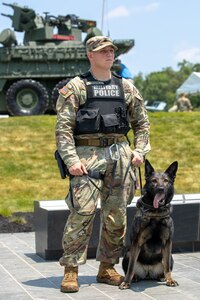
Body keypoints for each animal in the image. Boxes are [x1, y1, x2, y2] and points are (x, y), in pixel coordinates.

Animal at [119, 161, 179, 290]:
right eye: (154, 181)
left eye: (166, 181)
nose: (160, 189)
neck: (155, 213)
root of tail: (148, 273)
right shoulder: (137, 242)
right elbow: (131, 267)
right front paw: (126, 282)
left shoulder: (168, 242)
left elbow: (167, 265)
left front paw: (170, 280)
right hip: (127, 254)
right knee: (131, 268)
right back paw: (134, 277)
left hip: (171, 256)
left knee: (165, 266)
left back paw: (163, 277)